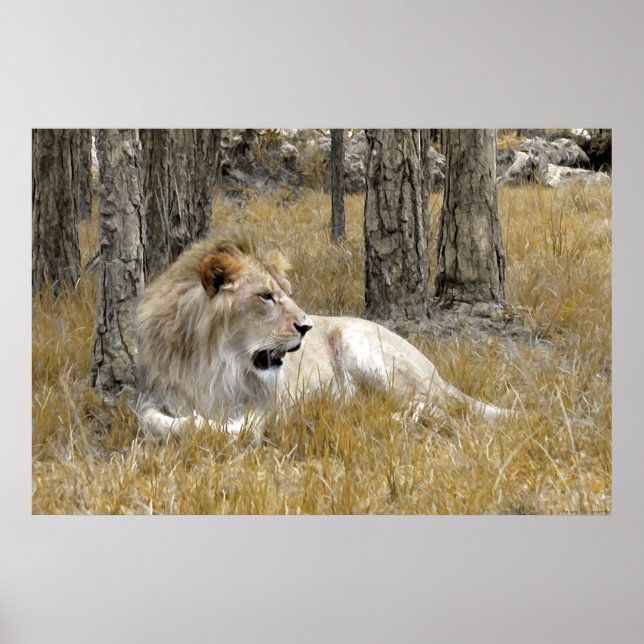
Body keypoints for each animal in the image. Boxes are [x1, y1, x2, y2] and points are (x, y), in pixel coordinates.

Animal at [135, 236, 511, 440]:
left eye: (285, 293)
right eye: (266, 296)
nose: (306, 327)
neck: (215, 363)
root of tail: (435, 372)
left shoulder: (273, 403)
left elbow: (248, 426)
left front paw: (224, 428)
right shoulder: (158, 395)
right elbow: (152, 420)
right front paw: (196, 423)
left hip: (360, 343)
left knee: (432, 406)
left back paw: (378, 420)